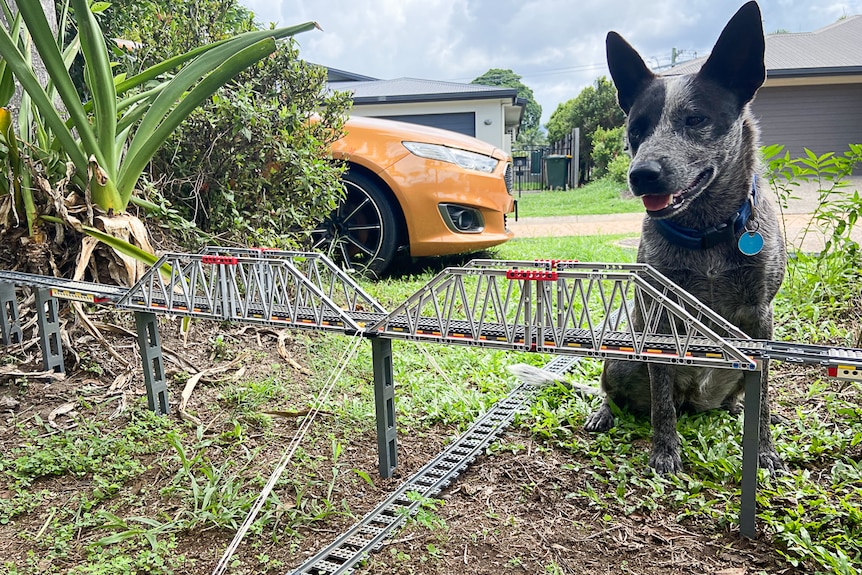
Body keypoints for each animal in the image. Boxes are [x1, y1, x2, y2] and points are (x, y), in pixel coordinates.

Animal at [512, 1, 788, 476]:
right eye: (636, 129)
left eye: (696, 120)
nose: (642, 174)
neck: (704, 233)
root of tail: (694, 400)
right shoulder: (659, 317)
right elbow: (660, 399)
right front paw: (664, 450)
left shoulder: (760, 317)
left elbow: (764, 392)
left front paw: (763, 448)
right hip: (621, 359)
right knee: (618, 392)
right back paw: (605, 412)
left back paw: (733, 408)